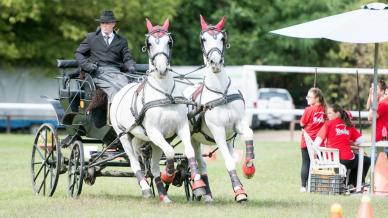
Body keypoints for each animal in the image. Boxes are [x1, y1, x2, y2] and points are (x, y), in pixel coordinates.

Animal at [110, 18, 206, 203]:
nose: (161, 69)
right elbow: (169, 152)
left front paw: (198, 186)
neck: (164, 94)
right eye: (149, 44)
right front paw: (169, 174)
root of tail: (119, 93)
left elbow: (189, 152)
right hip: (124, 135)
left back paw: (163, 195)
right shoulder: (155, 133)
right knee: (134, 162)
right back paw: (146, 188)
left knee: (149, 163)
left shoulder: (180, 128)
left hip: (142, 138)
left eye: (169, 42)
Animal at [184, 15, 256, 203]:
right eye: (204, 39)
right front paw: (238, 190)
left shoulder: (238, 124)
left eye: (222, 38)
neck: (221, 93)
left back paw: (208, 194)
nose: (215, 62)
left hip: (223, 139)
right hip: (192, 138)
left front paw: (249, 167)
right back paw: (203, 191)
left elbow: (249, 134)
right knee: (199, 162)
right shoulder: (218, 131)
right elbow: (228, 162)